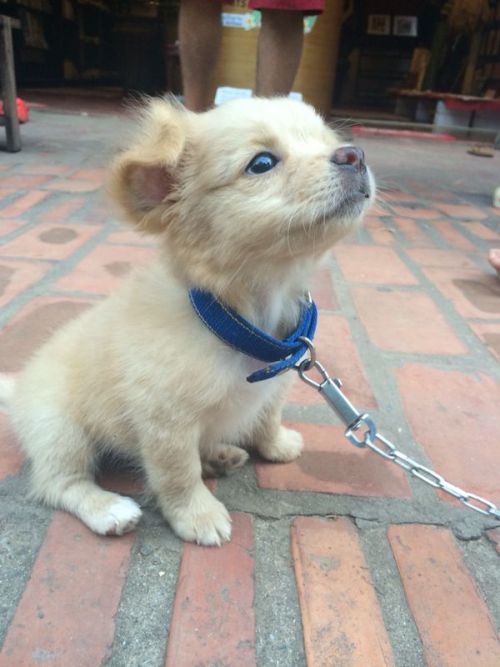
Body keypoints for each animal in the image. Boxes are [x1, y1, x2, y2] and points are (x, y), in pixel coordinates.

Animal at [0, 99, 374, 548]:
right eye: (262, 163)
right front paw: (197, 515)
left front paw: (277, 445)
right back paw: (108, 509)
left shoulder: (274, 387)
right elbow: (178, 473)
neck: (238, 322)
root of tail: (18, 388)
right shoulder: (166, 422)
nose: (355, 154)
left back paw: (220, 454)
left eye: (327, 141)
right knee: (59, 483)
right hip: (59, 429)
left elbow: (267, 418)